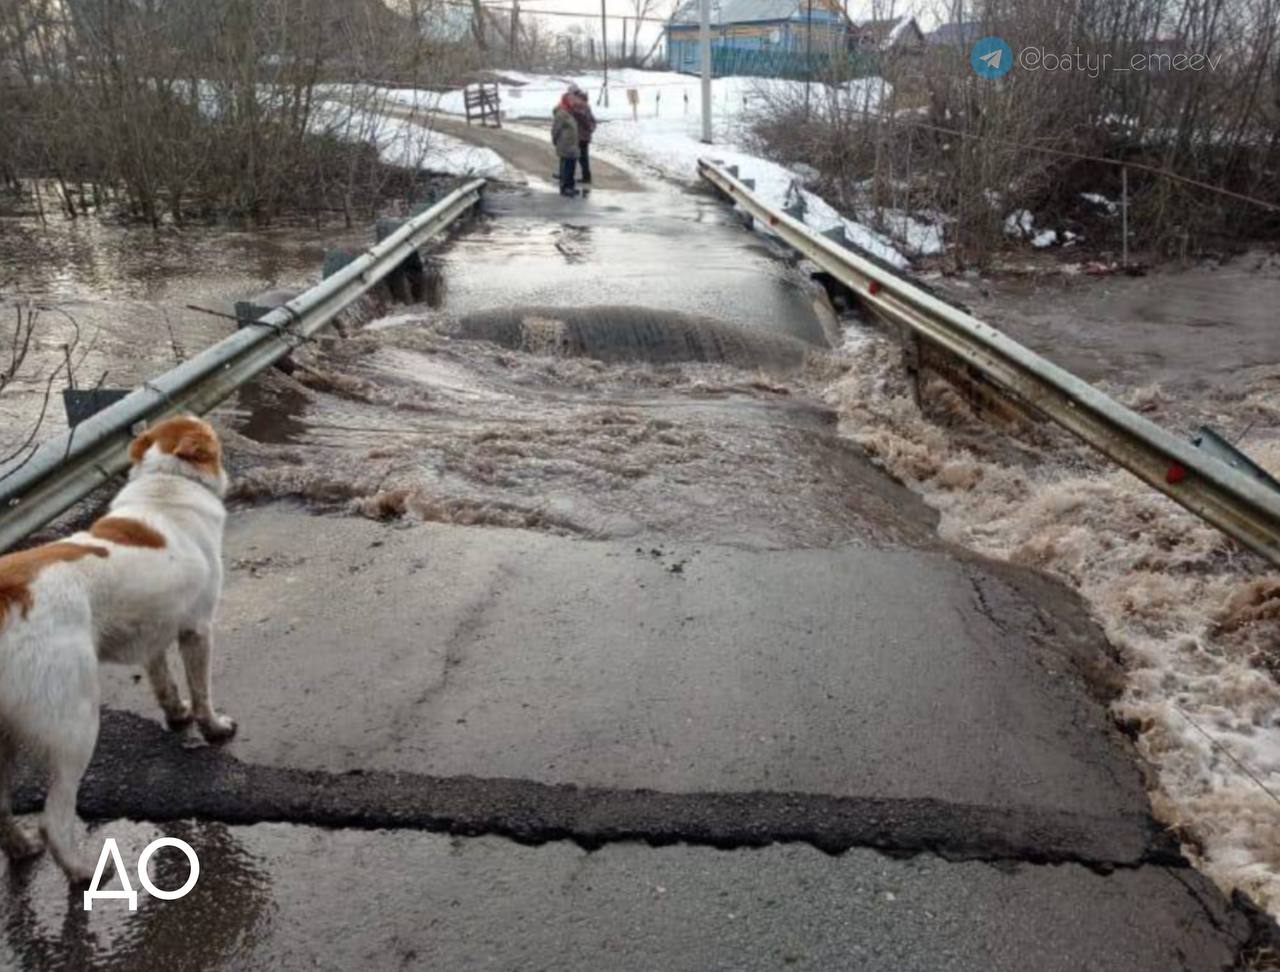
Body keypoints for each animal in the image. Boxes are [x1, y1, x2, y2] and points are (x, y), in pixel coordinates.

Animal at [0, 414, 235, 886]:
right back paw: (83, 871)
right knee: (54, 819)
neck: (167, 483)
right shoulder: (197, 629)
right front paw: (214, 728)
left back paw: (20, 848)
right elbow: (201, 691)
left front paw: (176, 715)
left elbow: (164, 680)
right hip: (75, 725)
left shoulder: (153, 630)